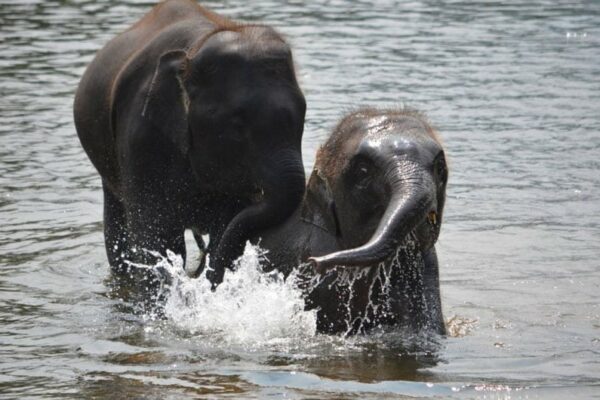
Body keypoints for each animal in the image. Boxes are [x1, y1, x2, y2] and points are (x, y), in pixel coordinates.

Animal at [74, 0, 308, 288]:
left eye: (303, 115)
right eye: (237, 124)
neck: (197, 48)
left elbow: (227, 227)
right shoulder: (140, 138)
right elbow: (158, 241)